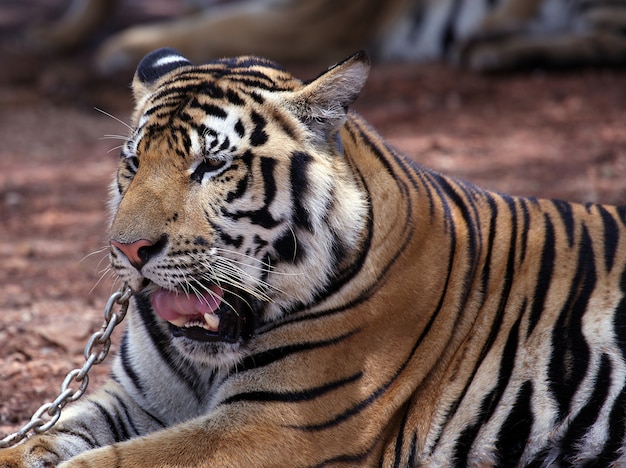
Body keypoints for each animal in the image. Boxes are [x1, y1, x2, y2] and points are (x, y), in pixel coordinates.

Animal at [1, 47, 624, 468]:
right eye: (133, 163)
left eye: (211, 165)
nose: (127, 249)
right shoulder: (136, 401)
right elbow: (37, 438)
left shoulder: (274, 424)